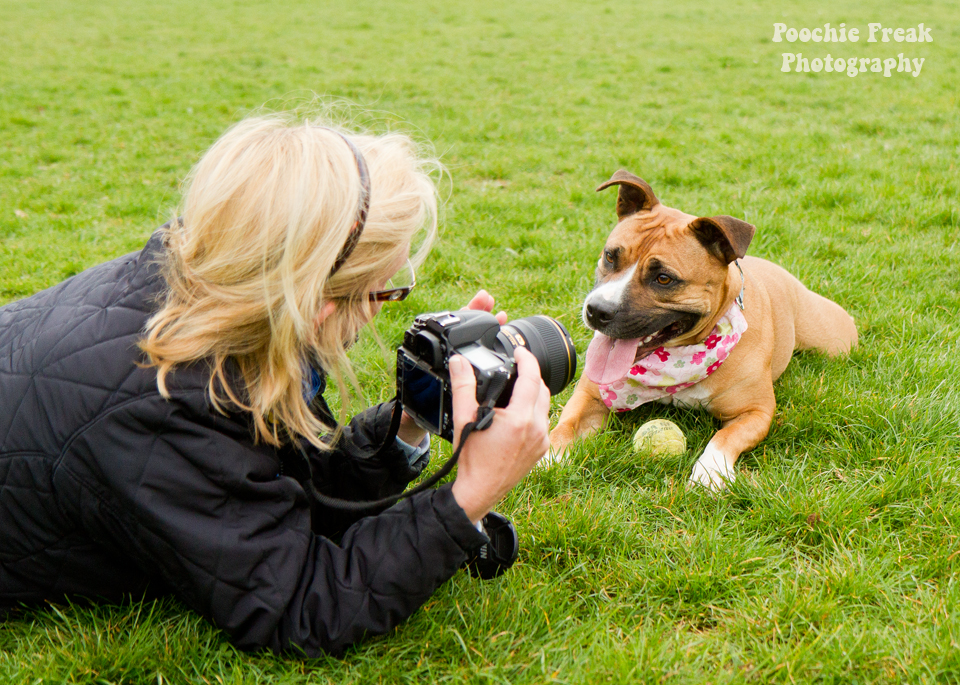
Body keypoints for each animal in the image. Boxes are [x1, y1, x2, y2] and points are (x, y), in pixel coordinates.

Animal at [552, 172, 860, 492]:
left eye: (664, 278)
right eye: (610, 257)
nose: (597, 310)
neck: (676, 359)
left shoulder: (756, 411)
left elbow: (724, 437)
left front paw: (710, 471)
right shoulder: (589, 395)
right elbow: (564, 426)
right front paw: (546, 457)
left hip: (835, 341)